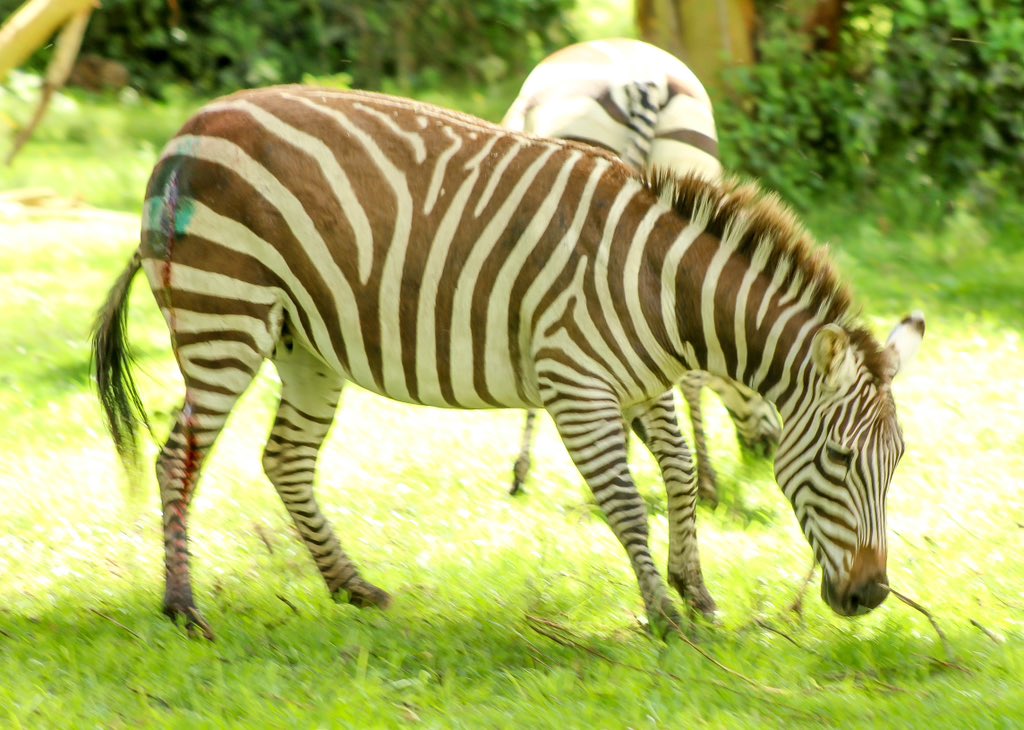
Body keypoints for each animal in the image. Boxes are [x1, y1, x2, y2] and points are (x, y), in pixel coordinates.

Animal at [92, 86, 924, 640]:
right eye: (841, 459)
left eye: (897, 463)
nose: (871, 597)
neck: (661, 290)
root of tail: (189, 129)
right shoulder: (577, 384)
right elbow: (625, 501)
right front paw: (662, 614)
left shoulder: (642, 385)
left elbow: (682, 474)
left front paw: (695, 589)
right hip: (224, 313)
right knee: (178, 459)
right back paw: (183, 608)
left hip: (305, 344)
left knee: (286, 460)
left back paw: (352, 588)